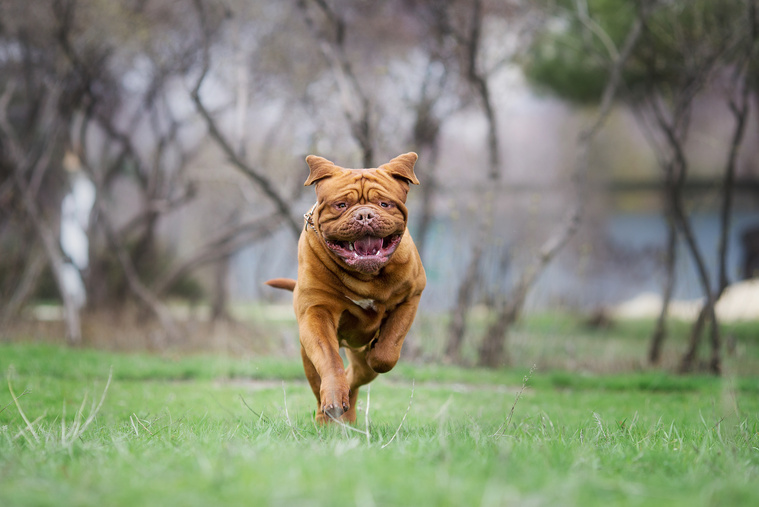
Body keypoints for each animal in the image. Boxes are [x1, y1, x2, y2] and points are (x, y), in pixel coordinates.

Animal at [264, 153, 424, 422]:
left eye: (384, 204)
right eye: (340, 205)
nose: (365, 215)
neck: (365, 275)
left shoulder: (410, 297)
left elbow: (388, 350)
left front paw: (379, 350)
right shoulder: (317, 312)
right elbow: (329, 359)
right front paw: (334, 395)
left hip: (359, 355)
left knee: (360, 373)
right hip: (308, 356)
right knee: (323, 382)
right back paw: (328, 415)